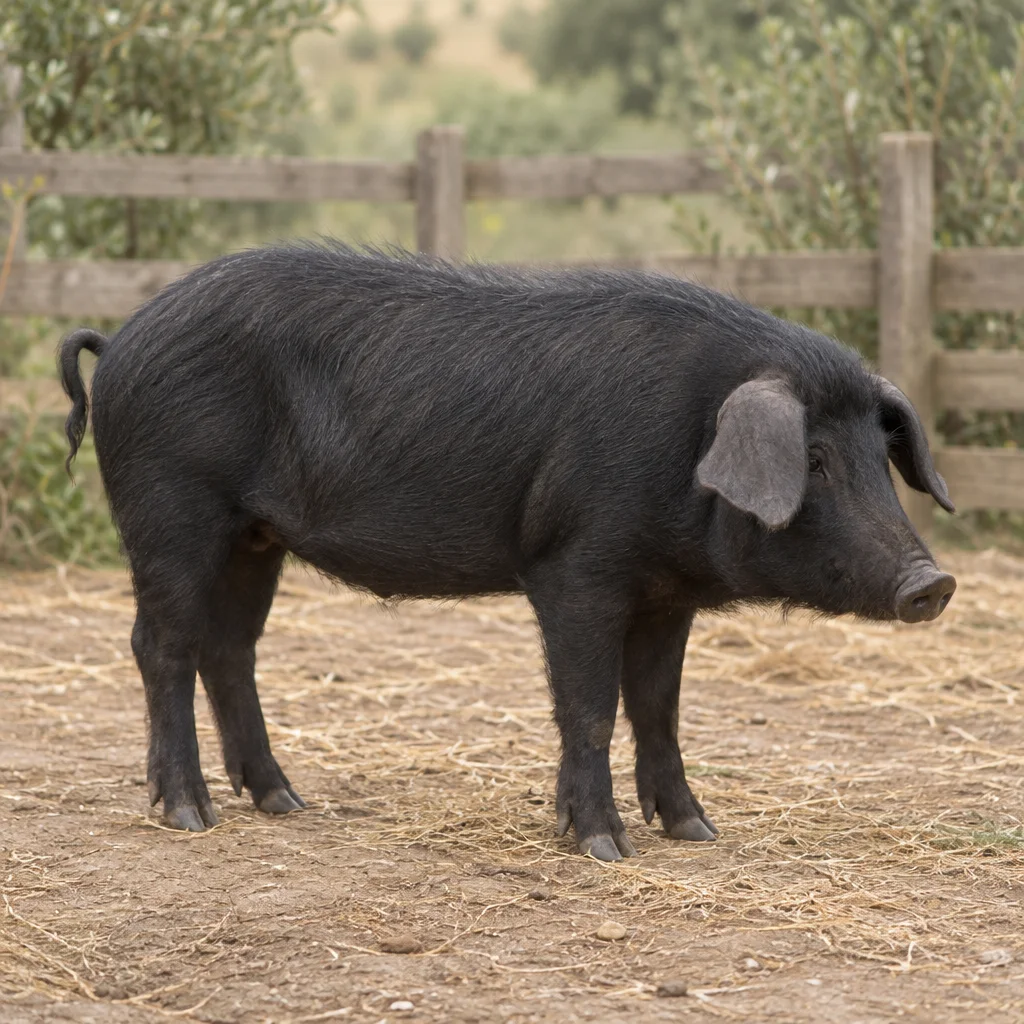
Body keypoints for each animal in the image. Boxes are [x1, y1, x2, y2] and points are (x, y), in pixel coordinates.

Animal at [59, 242, 956, 861]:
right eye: (814, 460)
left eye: (879, 457)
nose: (932, 581)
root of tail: (123, 339)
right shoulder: (576, 568)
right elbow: (590, 707)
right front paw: (604, 847)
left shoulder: (668, 593)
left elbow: (659, 707)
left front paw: (696, 831)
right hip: (171, 508)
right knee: (161, 645)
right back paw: (189, 814)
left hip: (255, 536)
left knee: (230, 648)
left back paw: (285, 802)